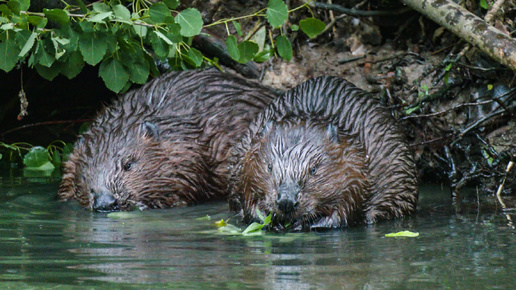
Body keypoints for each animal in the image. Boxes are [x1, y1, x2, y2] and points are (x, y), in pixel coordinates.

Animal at [228, 76, 418, 231]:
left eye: (313, 170)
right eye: (269, 167)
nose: (286, 201)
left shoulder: (355, 166)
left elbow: (347, 207)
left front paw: (305, 224)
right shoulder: (245, 157)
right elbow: (247, 198)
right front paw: (271, 221)